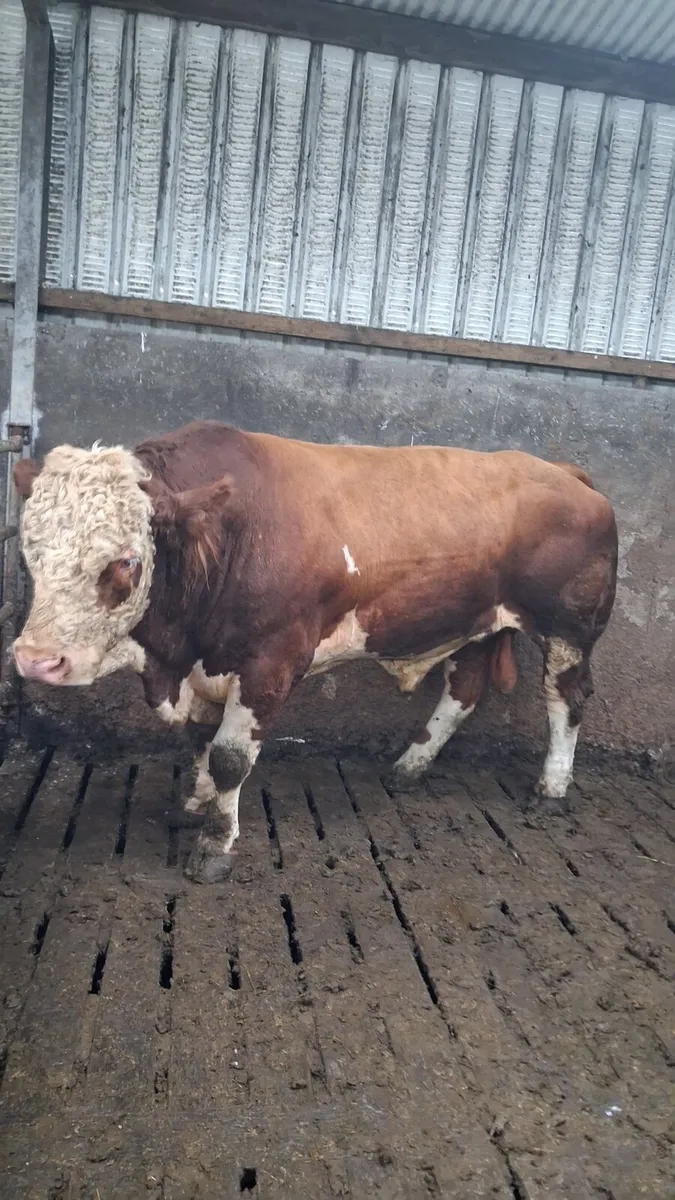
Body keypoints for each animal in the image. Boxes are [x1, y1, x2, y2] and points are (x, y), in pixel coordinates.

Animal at [12, 421, 617, 883]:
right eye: (29, 551)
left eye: (126, 561)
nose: (36, 659)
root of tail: (562, 471)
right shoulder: (204, 666)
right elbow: (201, 740)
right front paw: (196, 804)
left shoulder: (270, 663)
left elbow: (230, 757)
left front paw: (215, 846)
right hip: (477, 624)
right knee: (463, 690)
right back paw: (409, 767)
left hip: (569, 630)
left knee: (565, 700)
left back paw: (552, 787)